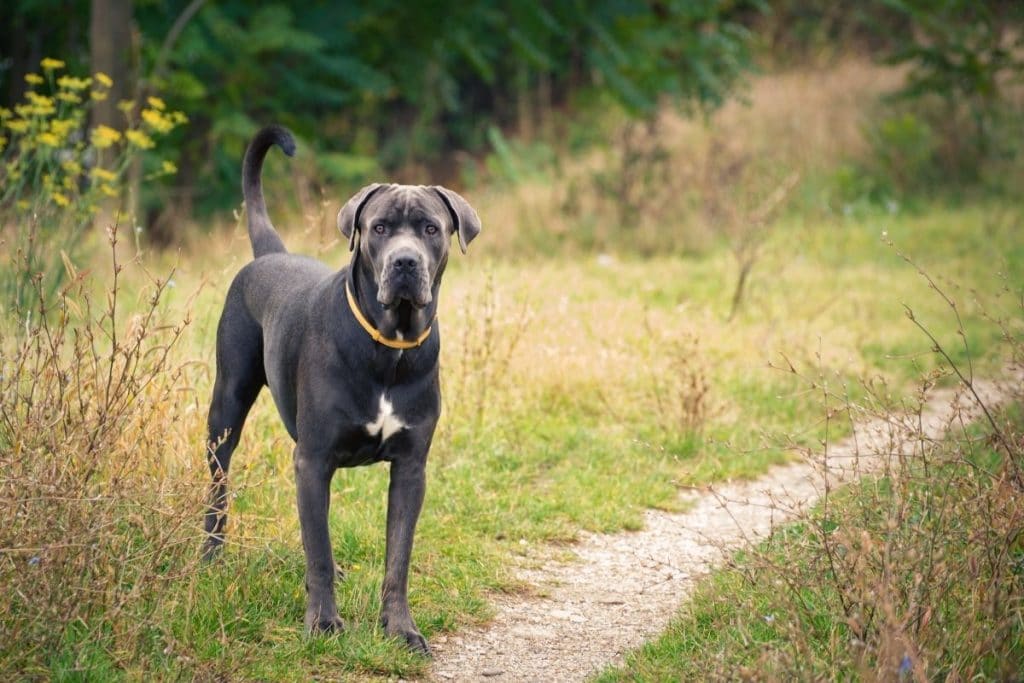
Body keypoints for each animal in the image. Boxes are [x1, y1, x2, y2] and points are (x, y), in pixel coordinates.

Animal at [203, 125, 483, 655]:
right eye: (380, 228)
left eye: (430, 229)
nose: (405, 262)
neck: (390, 347)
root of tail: (271, 254)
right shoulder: (313, 461)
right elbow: (318, 550)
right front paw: (324, 623)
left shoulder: (410, 468)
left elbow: (398, 557)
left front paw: (400, 629)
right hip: (226, 407)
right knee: (218, 485)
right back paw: (209, 555)